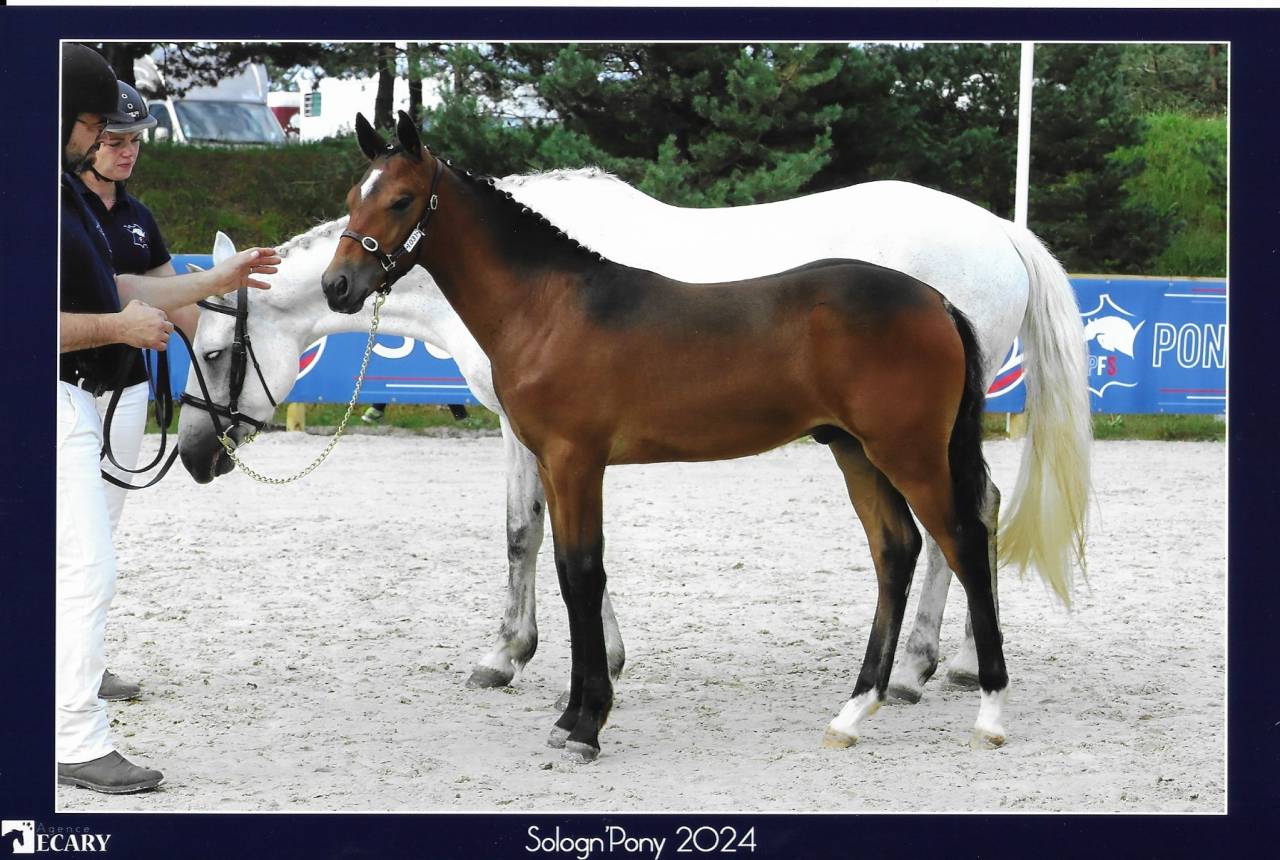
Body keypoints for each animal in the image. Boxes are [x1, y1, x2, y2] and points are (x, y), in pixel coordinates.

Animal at [177, 161, 1089, 713]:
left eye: (216, 351)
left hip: (912, 432)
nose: (191, 453)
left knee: (958, 517)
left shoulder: (535, 434)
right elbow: (552, 540)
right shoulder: (553, 438)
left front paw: (514, 655)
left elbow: (527, 537)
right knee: (970, 511)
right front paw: (586, 660)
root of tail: (1000, 230)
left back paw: (919, 665)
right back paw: (952, 660)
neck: (523, 278)